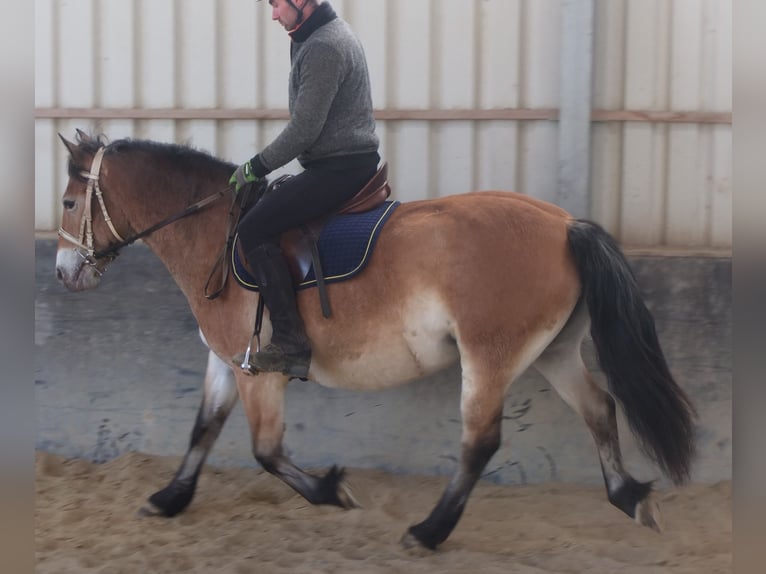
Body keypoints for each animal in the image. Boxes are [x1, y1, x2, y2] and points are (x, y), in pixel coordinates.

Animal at [57, 132, 700, 552]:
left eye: (67, 202)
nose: (65, 272)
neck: (216, 233)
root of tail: (566, 225)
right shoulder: (225, 361)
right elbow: (202, 431)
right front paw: (168, 499)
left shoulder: (257, 370)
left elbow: (266, 450)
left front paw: (332, 492)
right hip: (555, 351)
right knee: (599, 407)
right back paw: (628, 496)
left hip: (489, 356)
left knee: (480, 442)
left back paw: (429, 532)